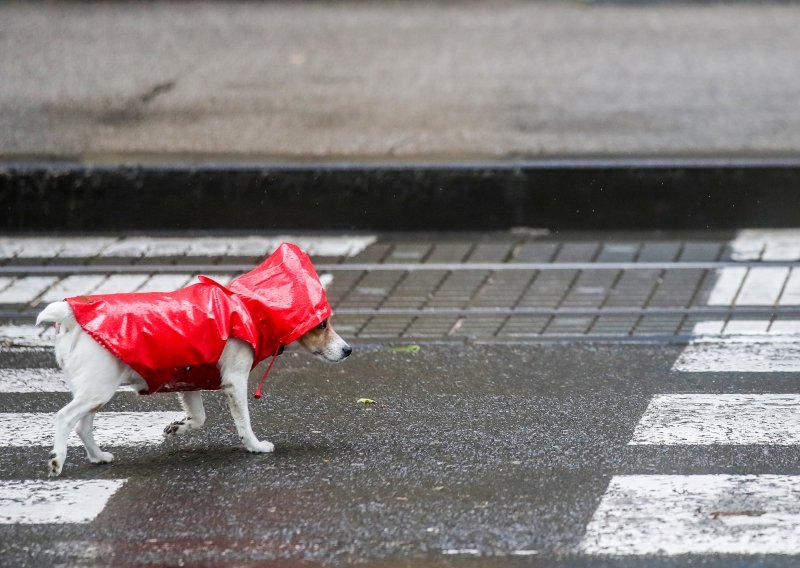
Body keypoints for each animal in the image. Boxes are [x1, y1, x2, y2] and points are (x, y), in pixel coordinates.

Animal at [35, 243, 350, 474]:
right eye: (322, 325)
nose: (348, 350)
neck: (246, 307)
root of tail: (71, 317)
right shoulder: (234, 382)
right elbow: (244, 422)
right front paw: (255, 447)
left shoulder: (188, 379)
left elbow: (198, 418)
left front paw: (177, 427)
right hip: (97, 390)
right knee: (64, 418)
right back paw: (57, 460)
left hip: (94, 392)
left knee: (82, 426)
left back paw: (99, 456)